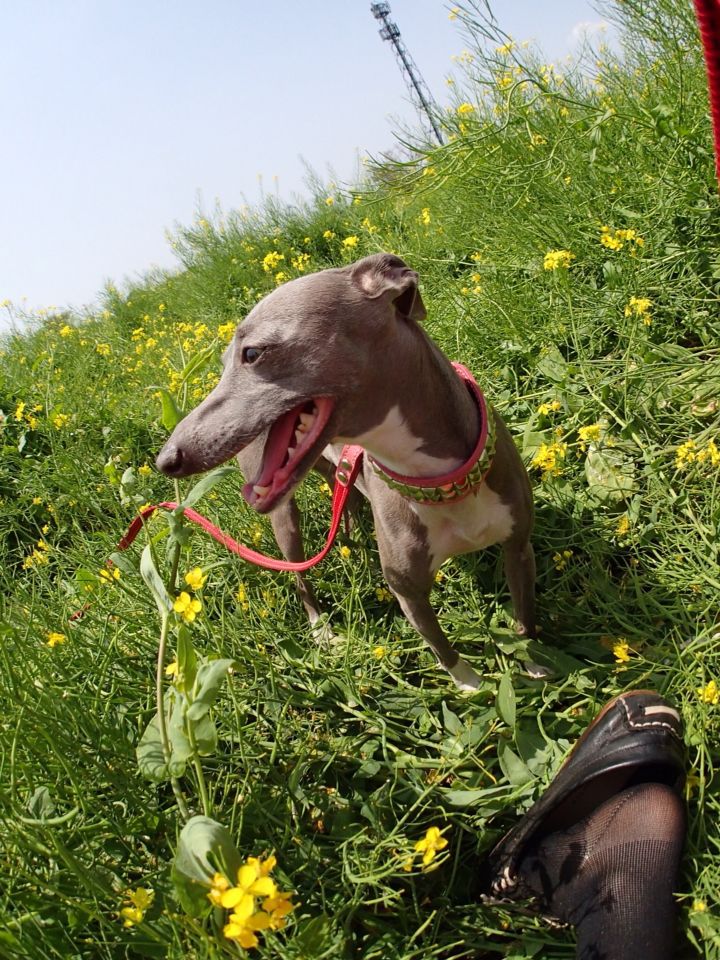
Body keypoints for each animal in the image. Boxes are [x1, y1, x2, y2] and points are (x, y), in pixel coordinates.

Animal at [159, 253, 540, 688]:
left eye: (252, 354)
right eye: (223, 364)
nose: (167, 458)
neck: (439, 481)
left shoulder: (518, 547)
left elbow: (526, 621)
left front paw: (535, 666)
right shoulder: (408, 592)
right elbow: (444, 651)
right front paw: (472, 688)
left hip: (334, 470)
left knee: (348, 499)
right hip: (283, 515)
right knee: (299, 574)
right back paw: (321, 628)